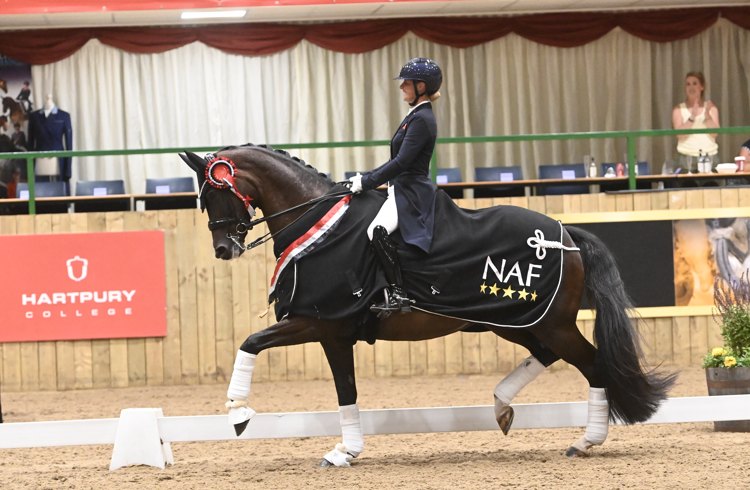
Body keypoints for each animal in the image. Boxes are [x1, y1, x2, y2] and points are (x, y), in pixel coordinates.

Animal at [179, 144, 675, 466]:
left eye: (215, 193)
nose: (223, 250)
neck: (317, 224)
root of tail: (566, 234)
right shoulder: (332, 334)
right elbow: (345, 391)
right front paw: (346, 450)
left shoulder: (318, 322)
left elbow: (251, 342)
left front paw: (239, 414)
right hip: (516, 320)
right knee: (549, 356)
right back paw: (502, 406)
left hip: (548, 322)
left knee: (593, 365)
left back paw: (585, 441)